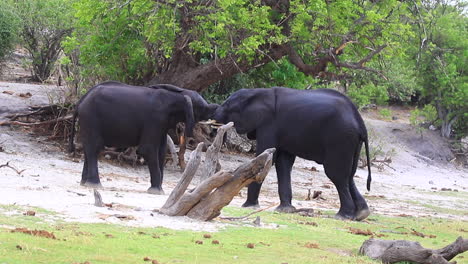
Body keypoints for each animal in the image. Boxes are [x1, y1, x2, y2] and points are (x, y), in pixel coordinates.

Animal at [68, 80, 218, 194]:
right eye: (201, 107)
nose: (216, 107)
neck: (178, 95)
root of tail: (80, 101)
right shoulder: (155, 119)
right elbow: (148, 150)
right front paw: (157, 191)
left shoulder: (162, 124)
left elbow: (161, 151)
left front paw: (159, 189)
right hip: (90, 117)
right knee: (94, 147)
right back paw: (94, 185)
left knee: (89, 148)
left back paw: (84, 183)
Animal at [213, 87, 372, 221]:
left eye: (228, 106)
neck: (258, 92)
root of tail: (361, 123)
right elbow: (283, 163)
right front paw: (285, 210)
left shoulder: (269, 124)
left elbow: (267, 157)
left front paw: (248, 206)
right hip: (351, 142)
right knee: (348, 175)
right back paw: (361, 214)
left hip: (340, 138)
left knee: (336, 175)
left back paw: (342, 216)